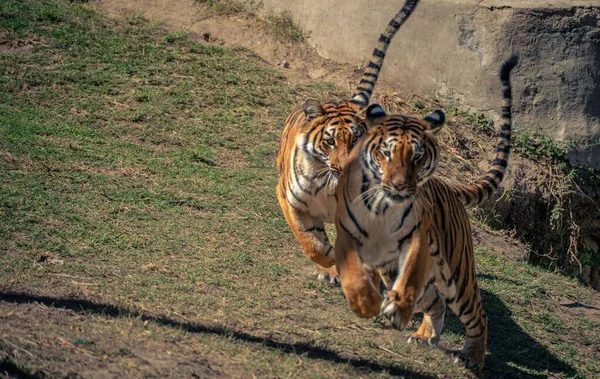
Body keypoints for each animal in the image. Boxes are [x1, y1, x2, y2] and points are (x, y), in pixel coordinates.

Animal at [276, 0, 420, 282]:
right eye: (329, 142)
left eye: (355, 139)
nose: (344, 167)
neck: (326, 185)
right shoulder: (289, 200)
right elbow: (312, 243)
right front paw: (329, 263)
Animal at [336, 57, 516, 374]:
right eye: (386, 153)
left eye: (417, 156)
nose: (400, 184)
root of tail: (449, 187)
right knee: (435, 302)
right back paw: (423, 335)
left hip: (458, 275)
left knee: (476, 315)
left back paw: (471, 358)